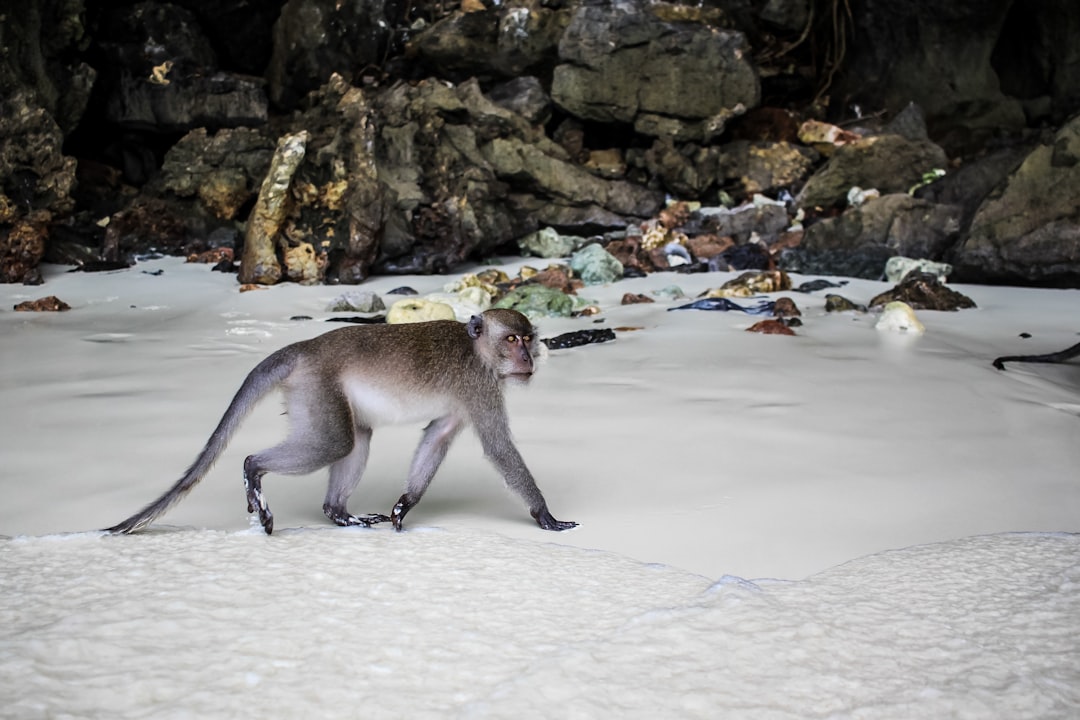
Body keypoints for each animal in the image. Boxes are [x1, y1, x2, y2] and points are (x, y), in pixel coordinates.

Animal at [105, 308, 578, 535]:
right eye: (511, 339)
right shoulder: (480, 385)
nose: (527, 358)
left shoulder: (467, 399)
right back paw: (253, 470)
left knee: (356, 437)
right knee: (335, 443)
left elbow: (438, 436)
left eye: (528, 339)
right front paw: (544, 514)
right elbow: (498, 448)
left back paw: (338, 513)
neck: (477, 351)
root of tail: (305, 347)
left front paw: (405, 503)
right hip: (317, 386)